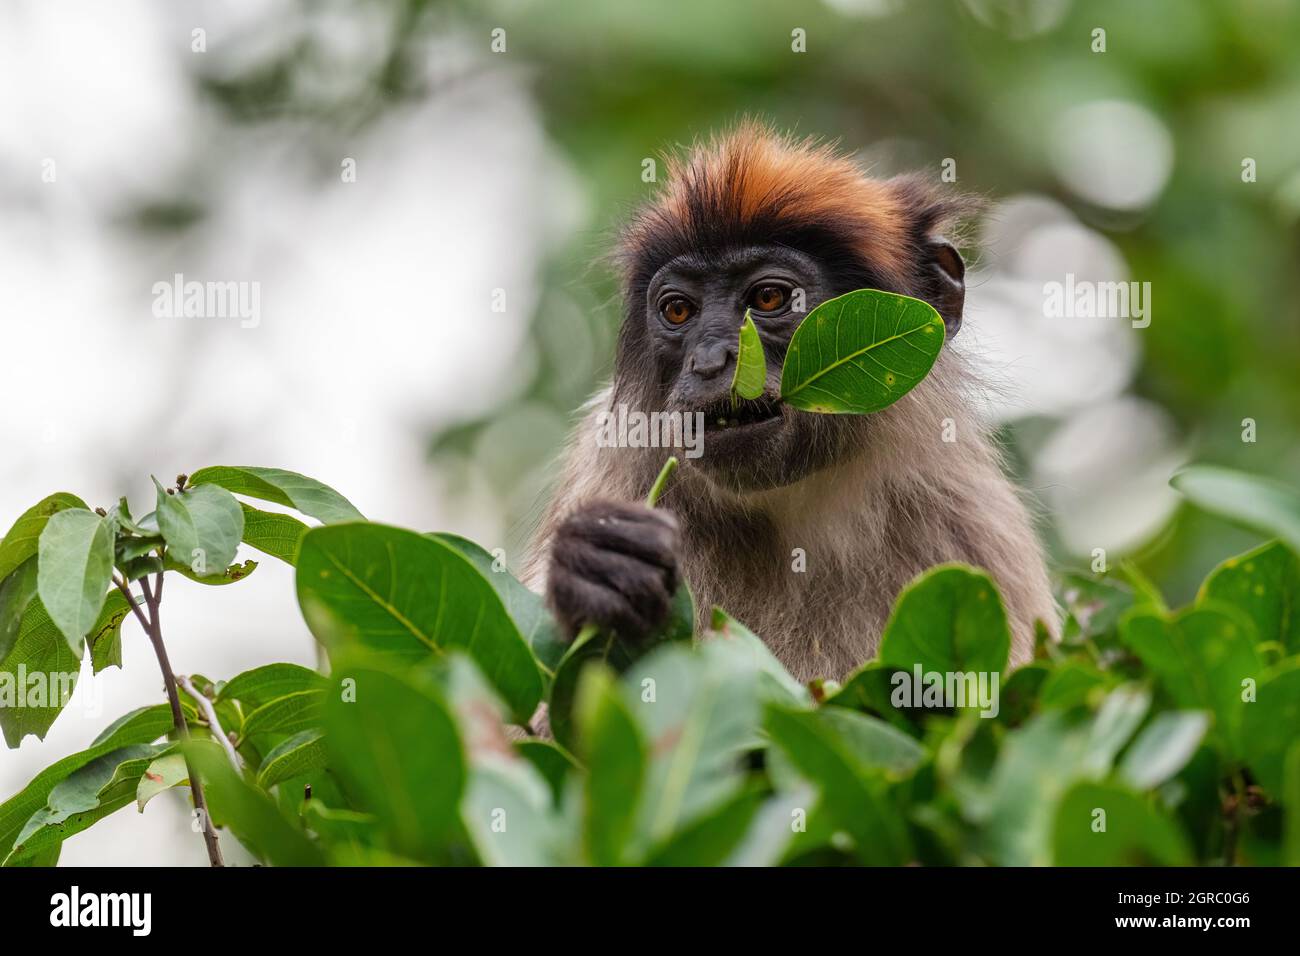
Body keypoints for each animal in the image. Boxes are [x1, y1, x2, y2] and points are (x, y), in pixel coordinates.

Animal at [517, 123, 1055, 686]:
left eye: (769, 299)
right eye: (679, 310)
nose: (709, 361)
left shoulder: (974, 525)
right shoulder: (612, 461)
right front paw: (590, 568)